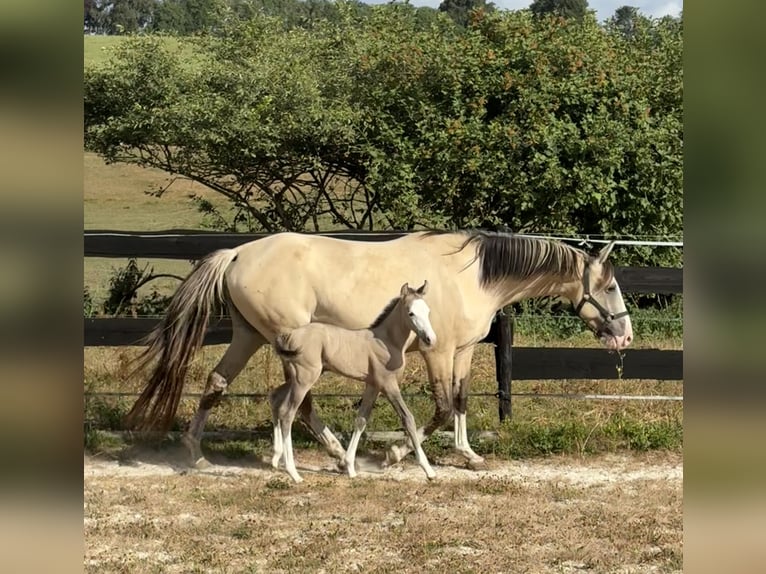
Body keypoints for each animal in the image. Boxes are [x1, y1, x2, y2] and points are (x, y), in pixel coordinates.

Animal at [269, 281, 437, 483]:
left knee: (276, 398)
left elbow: (361, 420)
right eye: (411, 312)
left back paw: (276, 458)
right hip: (305, 379)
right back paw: (293, 473)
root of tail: (289, 336)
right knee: (287, 413)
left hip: (297, 378)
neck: (387, 342)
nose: (430, 339)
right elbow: (408, 419)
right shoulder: (389, 385)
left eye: (427, 311)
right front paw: (428, 470)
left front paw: (350, 467)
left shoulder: (373, 385)